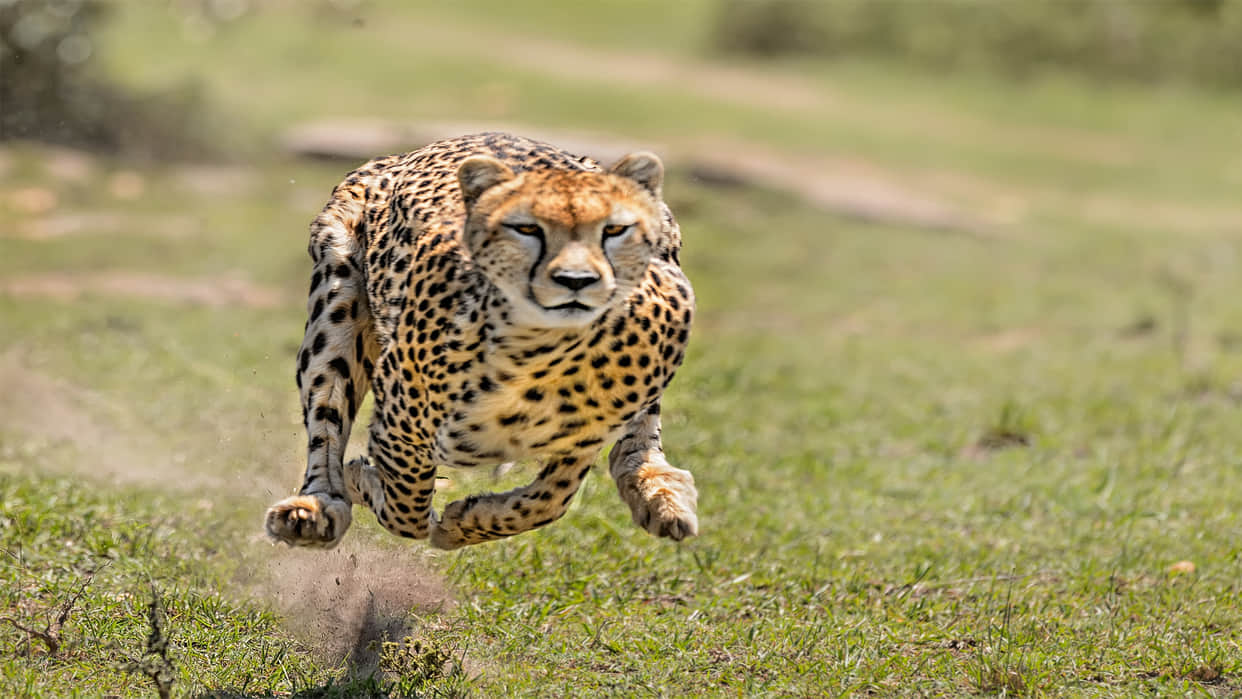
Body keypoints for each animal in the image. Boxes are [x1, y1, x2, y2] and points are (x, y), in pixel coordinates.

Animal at [264, 132, 698, 551]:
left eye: (614, 230)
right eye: (527, 228)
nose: (576, 280)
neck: (545, 355)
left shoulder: (584, 437)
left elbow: (550, 499)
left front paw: (467, 521)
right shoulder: (401, 424)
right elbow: (406, 506)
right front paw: (366, 483)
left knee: (637, 439)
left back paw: (659, 493)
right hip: (337, 301)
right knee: (326, 420)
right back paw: (315, 508)